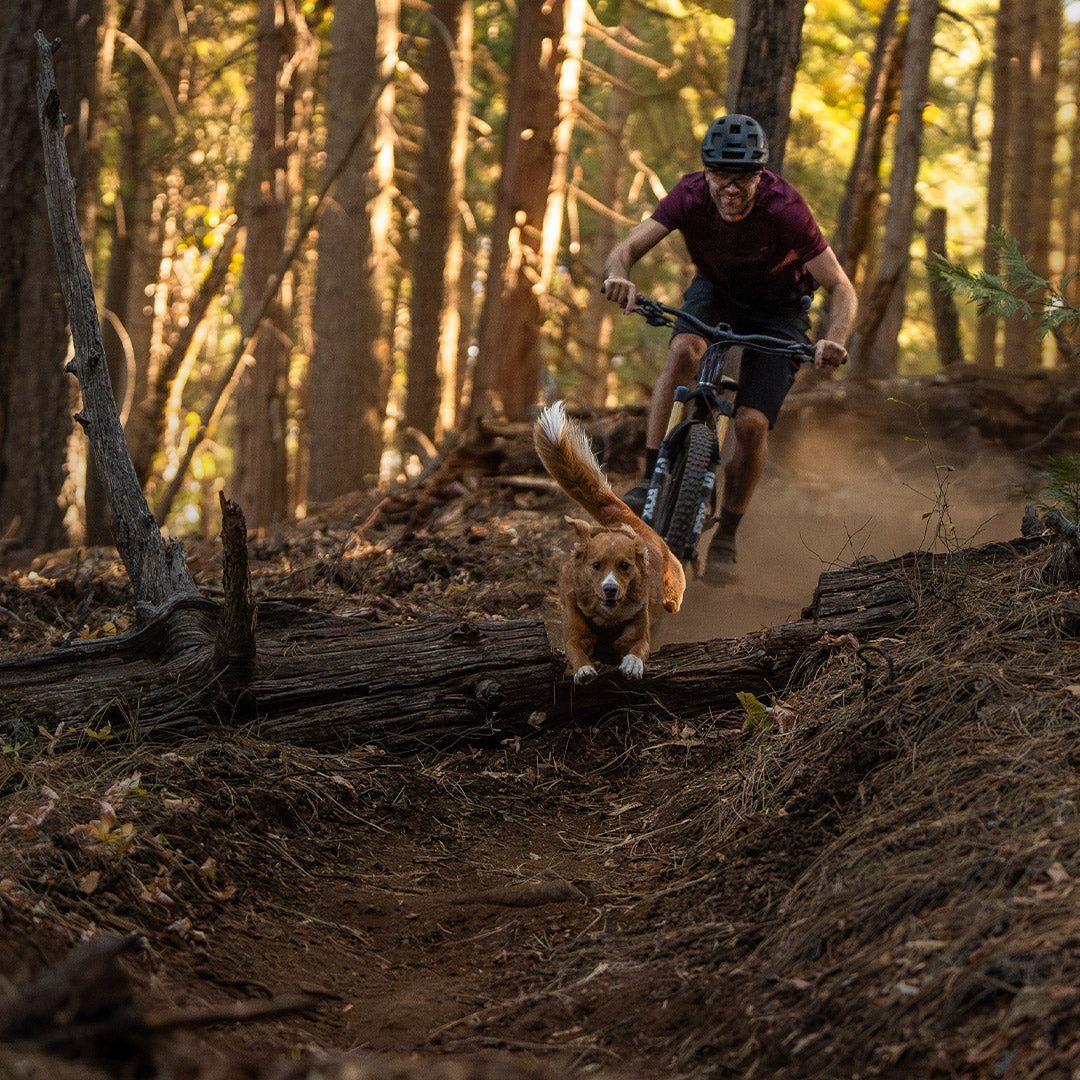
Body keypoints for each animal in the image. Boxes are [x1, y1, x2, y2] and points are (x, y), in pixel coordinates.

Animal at [535, 401, 686, 678]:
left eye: (625, 566)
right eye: (596, 565)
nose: (610, 588)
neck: (607, 619)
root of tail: (626, 521)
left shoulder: (639, 636)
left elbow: (637, 649)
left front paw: (632, 664)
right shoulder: (574, 634)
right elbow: (576, 651)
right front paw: (583, 670)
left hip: (673, 594)